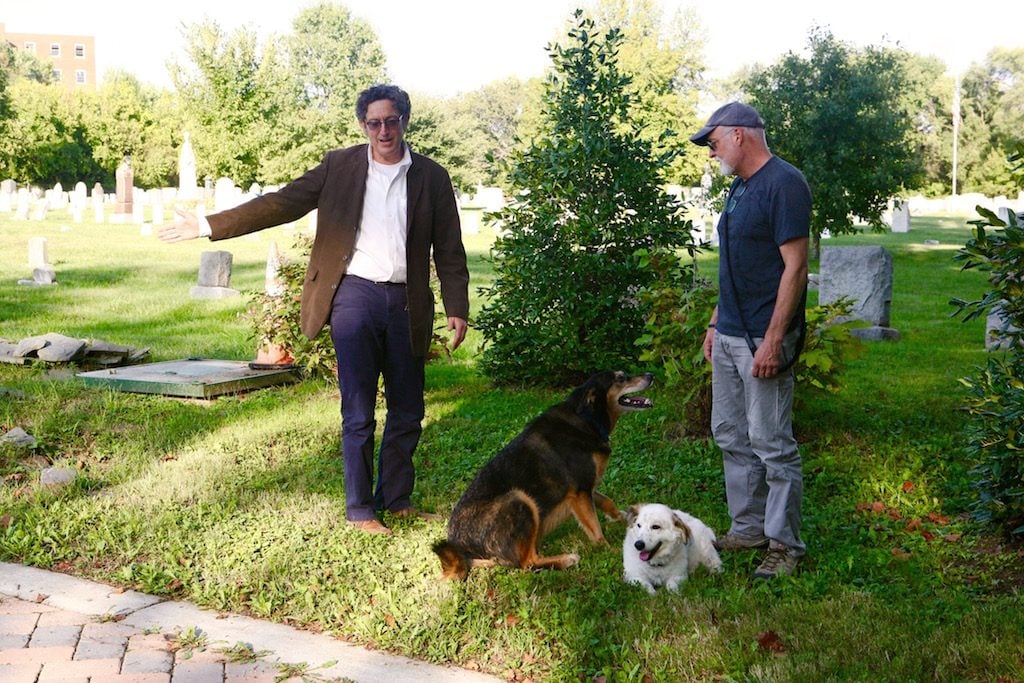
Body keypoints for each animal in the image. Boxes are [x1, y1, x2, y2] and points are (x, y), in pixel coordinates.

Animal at [430, 370, 651, 581]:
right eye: (621, 378)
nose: (651, 375)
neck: (587, 418)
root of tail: (460, 548)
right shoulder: (581, 491)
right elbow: (595, 528)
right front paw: (609, 550)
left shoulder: (584, 488)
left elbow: (607, 501)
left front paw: (625, 518)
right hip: (519, 499)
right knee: (528, 563)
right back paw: (565, 559)